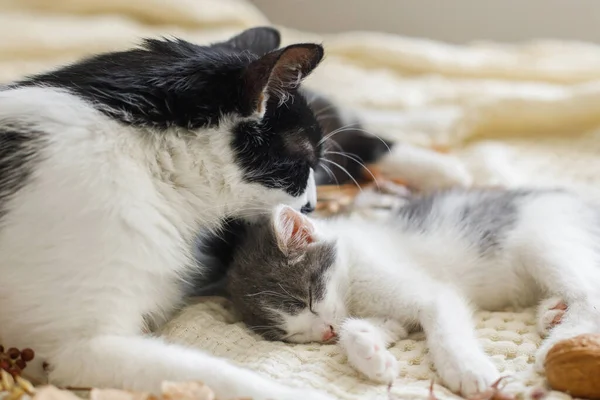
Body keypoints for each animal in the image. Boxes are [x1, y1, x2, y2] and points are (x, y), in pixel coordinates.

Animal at [225, 190, 600, 396]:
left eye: (309, 298)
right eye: (292, 335)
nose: (324, 333)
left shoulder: (429, 293)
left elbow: (444, 328)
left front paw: (468, 372)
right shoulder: (385, 313)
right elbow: (365, 326)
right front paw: (371, 355)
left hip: (544, 239)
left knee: (590, 293)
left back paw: (556, 346)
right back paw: (554, 312)